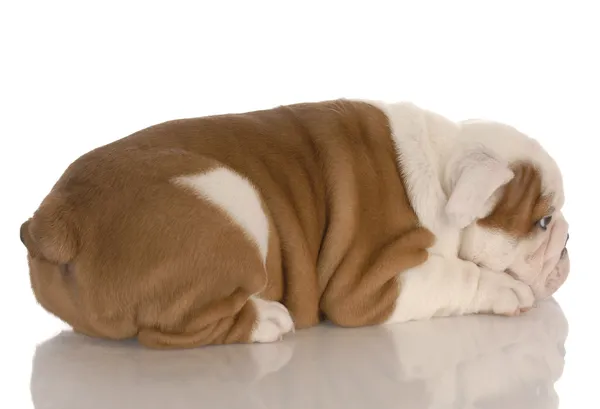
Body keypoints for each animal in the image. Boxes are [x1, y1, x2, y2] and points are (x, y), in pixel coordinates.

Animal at [21, 99, 568, 348]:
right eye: (544, 221)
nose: (567, 245)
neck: (442, 166)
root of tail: (59, 216)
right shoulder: (372, 284)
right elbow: (457, 275)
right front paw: (506, 290)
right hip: (234, 199)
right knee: (173, 331)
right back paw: (267, 318)